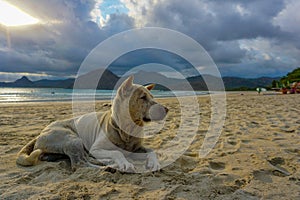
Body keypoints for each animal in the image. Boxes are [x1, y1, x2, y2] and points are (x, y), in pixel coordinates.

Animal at [16, 76, 169, 172]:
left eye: (153, 97)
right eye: (142, 97)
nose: (167, 109)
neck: (127, 129)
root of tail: (41, 132)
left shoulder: (136, 149)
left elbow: (152, 150)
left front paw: (154, 163)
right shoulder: (97, 148)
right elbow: (117, 152)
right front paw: (125, 164)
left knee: (83, 158)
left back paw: (105, 163)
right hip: (72, 139)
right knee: (79, 164)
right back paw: (108, 167)